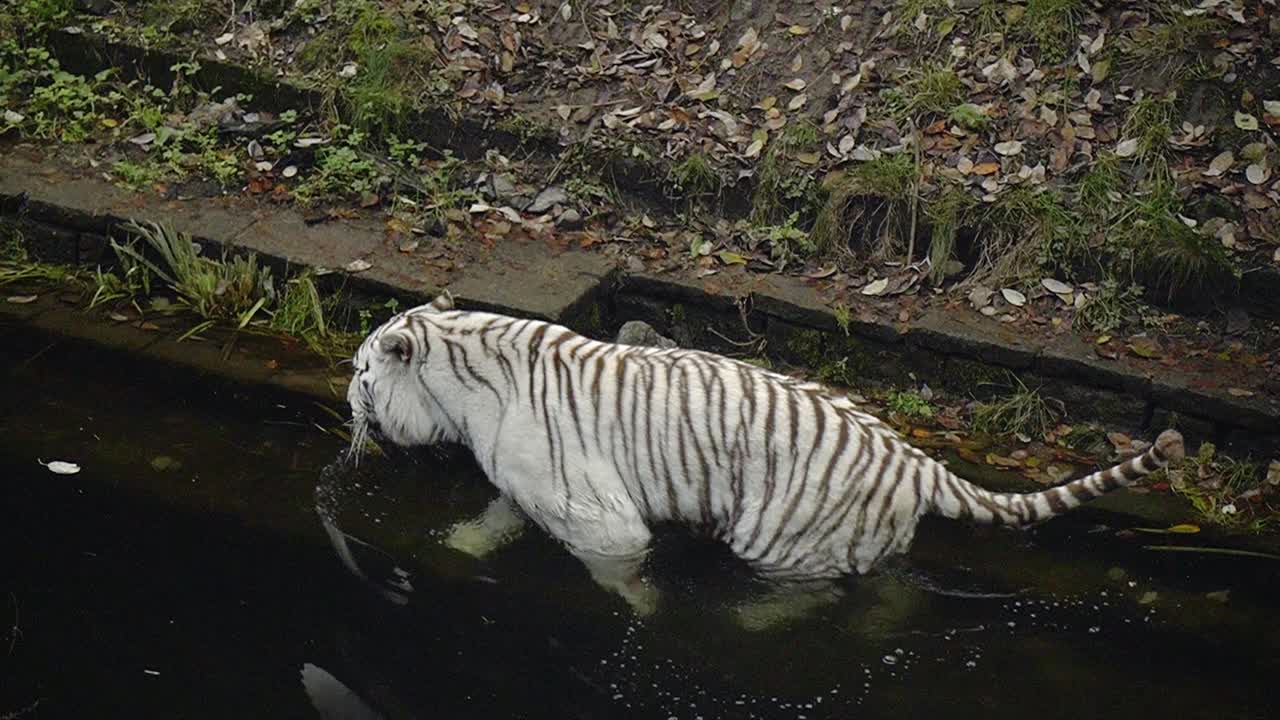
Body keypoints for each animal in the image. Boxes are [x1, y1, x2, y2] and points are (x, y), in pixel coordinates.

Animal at [345, 293, 1184, 623]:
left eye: (359, 372)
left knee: (809, 594)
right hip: (870, 540)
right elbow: (492, 521)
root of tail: (916, 461)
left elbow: (621, 571)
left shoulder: (601, 519)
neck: (460, 388)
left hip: (782, 536)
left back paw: (742, 620)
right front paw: (454, 545)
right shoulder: (526, 491)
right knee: (890, 593)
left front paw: (646, 611)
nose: (348, 400)